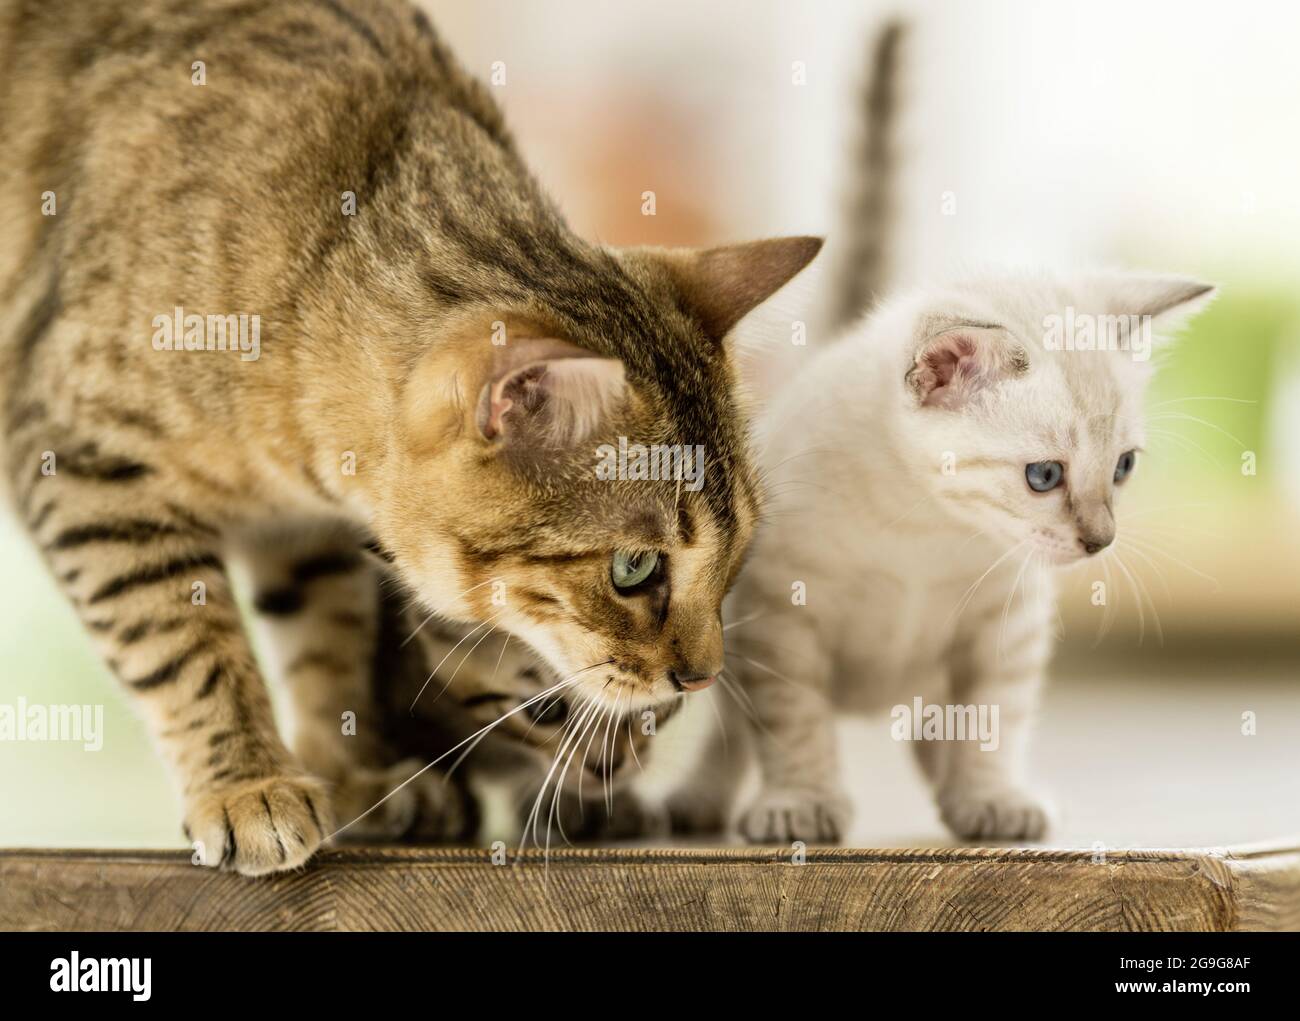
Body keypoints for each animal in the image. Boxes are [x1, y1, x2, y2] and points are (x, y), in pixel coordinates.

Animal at [0, 1, 816, 874]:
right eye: (635, 567)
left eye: (738, 554)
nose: (701, 678)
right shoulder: (81, 460)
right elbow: (182, 640)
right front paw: (249, 783)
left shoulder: (310, 530)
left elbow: (326, 639)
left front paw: (350, 773)